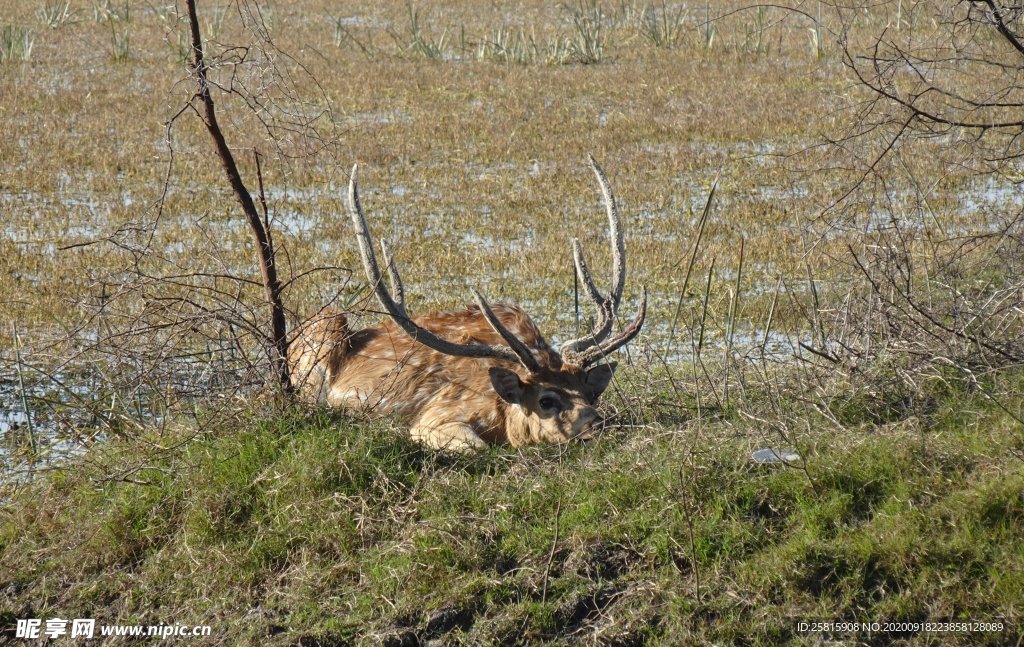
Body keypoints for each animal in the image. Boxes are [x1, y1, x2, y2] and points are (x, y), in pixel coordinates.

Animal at [288, 156, 643, 450]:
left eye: (590, 394)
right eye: (546, 400)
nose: (596, 424)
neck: (500, 414)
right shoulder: (436, 414)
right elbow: (475, 446)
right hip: (325, 326)